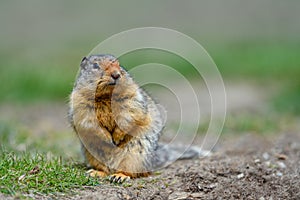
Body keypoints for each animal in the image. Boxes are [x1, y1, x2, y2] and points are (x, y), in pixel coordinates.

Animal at [69, 54, 207, 183]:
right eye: (95, 65)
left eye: (119, 65)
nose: (116, 74)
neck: (107, 96)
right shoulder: (79, 103)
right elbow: (88, 121)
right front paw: (107, 138)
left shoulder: (132, 98)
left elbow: (129, 115)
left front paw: (117, 137)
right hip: (92, 155)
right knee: (105, 169)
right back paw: (95, 172)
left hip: (136, 156)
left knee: (132, 172)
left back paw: (119, 176)